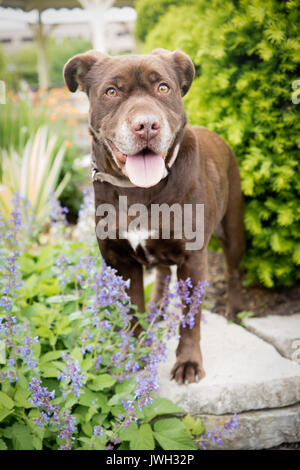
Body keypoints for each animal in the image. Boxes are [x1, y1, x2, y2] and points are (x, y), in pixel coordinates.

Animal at [63, 47, 246, 386]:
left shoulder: (193, 258)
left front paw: (188, 363)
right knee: (161, 272)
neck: (138, 190)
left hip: (233, 228)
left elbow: (190, 318)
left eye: (163, 88)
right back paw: (158, 308)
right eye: (111, 91)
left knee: (233, 270)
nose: (146, 125)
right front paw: (135, 357)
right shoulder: (120, 261)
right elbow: (132, 312)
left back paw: (236, 309)